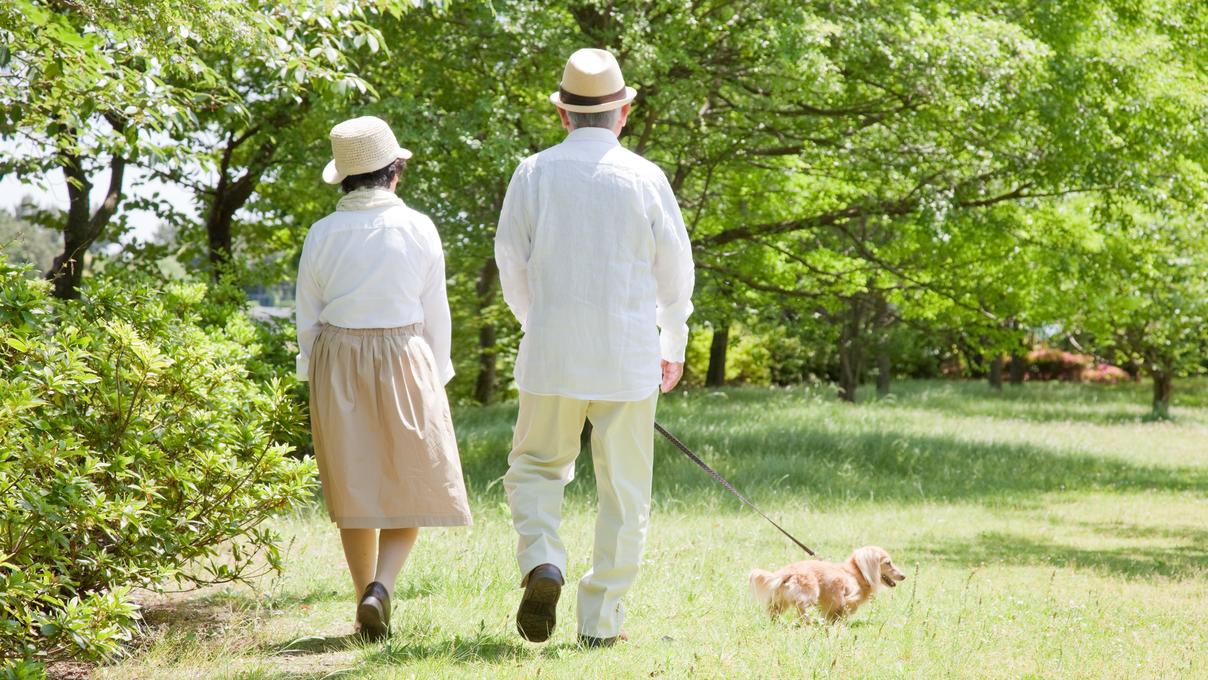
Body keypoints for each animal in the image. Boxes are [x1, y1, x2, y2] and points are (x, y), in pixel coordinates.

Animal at [744, 545, 908, 623]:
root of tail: (785, 572)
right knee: (801, 607)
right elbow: (844, 610)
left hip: (780, 600)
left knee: (774, 611)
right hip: (810, 593)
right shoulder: (845, 598)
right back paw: (808, 621)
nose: (904, 576)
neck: (857, 574)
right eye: (888, 563)